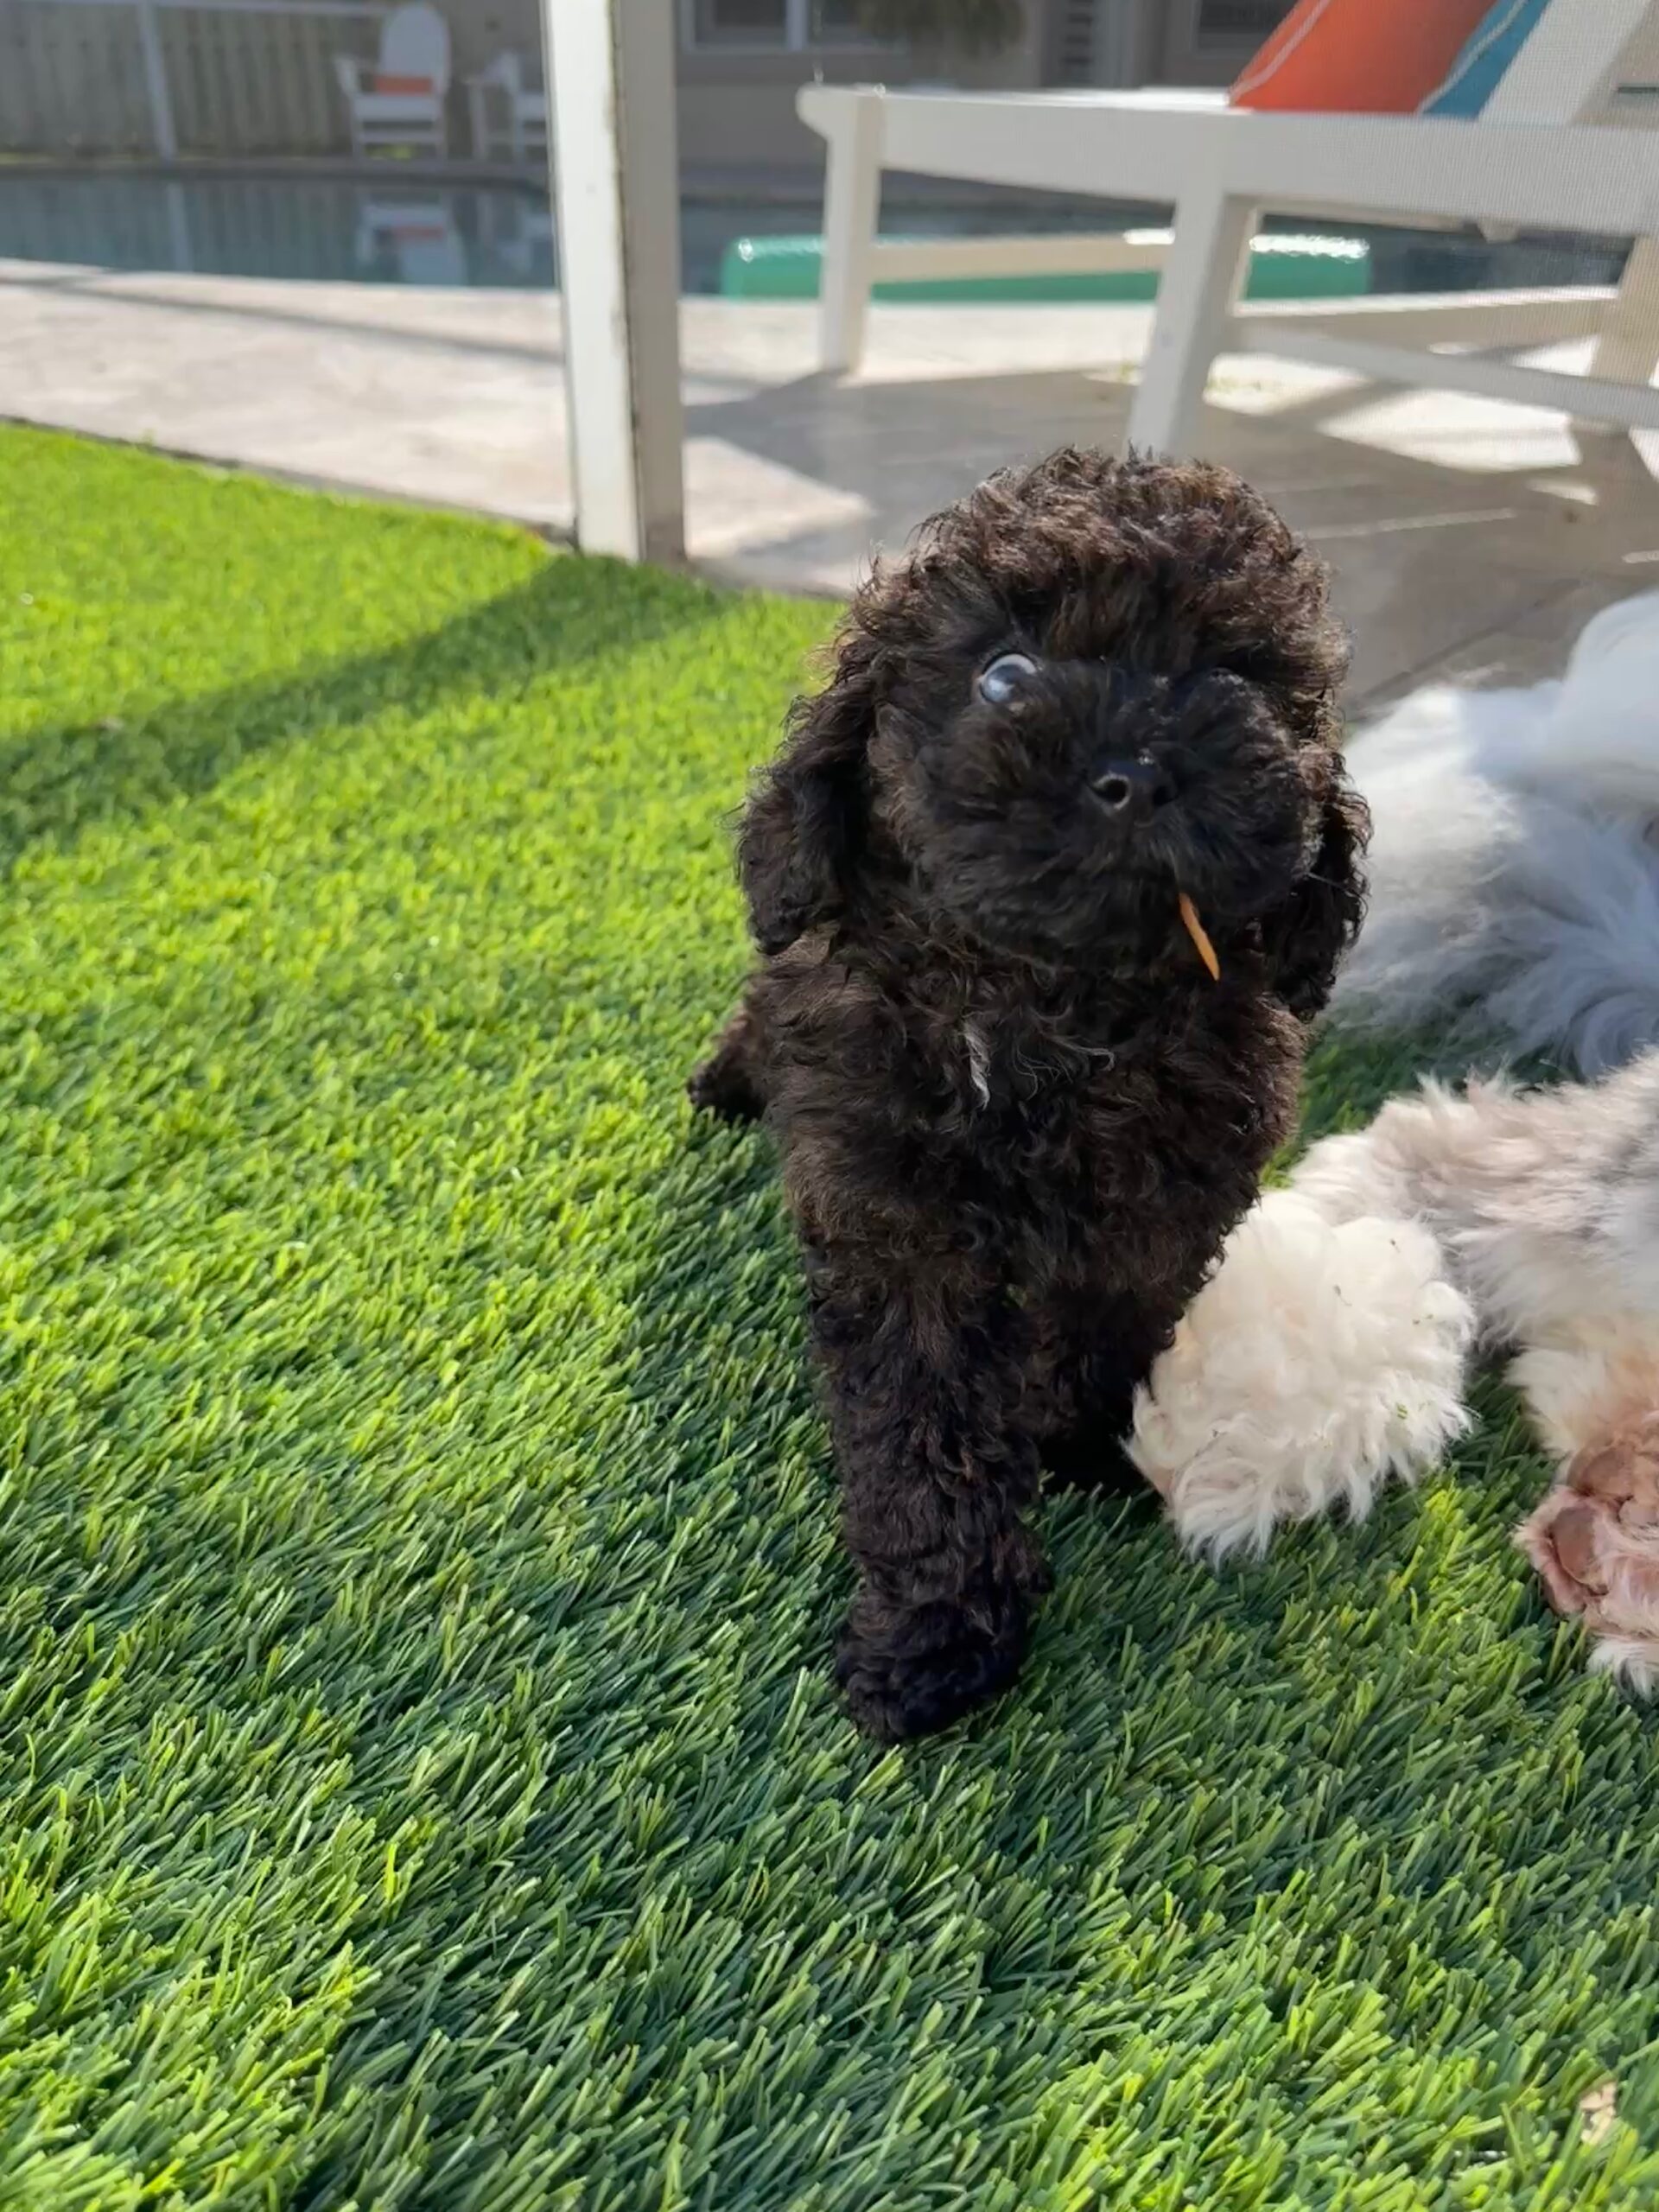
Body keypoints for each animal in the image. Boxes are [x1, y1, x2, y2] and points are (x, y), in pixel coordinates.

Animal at [689, 447, 1366, 1740]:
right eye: (1003, 674)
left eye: (1236, 676)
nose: (1136, 774)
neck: (1052, 1011)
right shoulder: (896, 1230)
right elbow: (924, 1436)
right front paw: (937, 1640)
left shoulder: (1172, 1200)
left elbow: (1113, 1327)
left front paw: (1083, 1442)